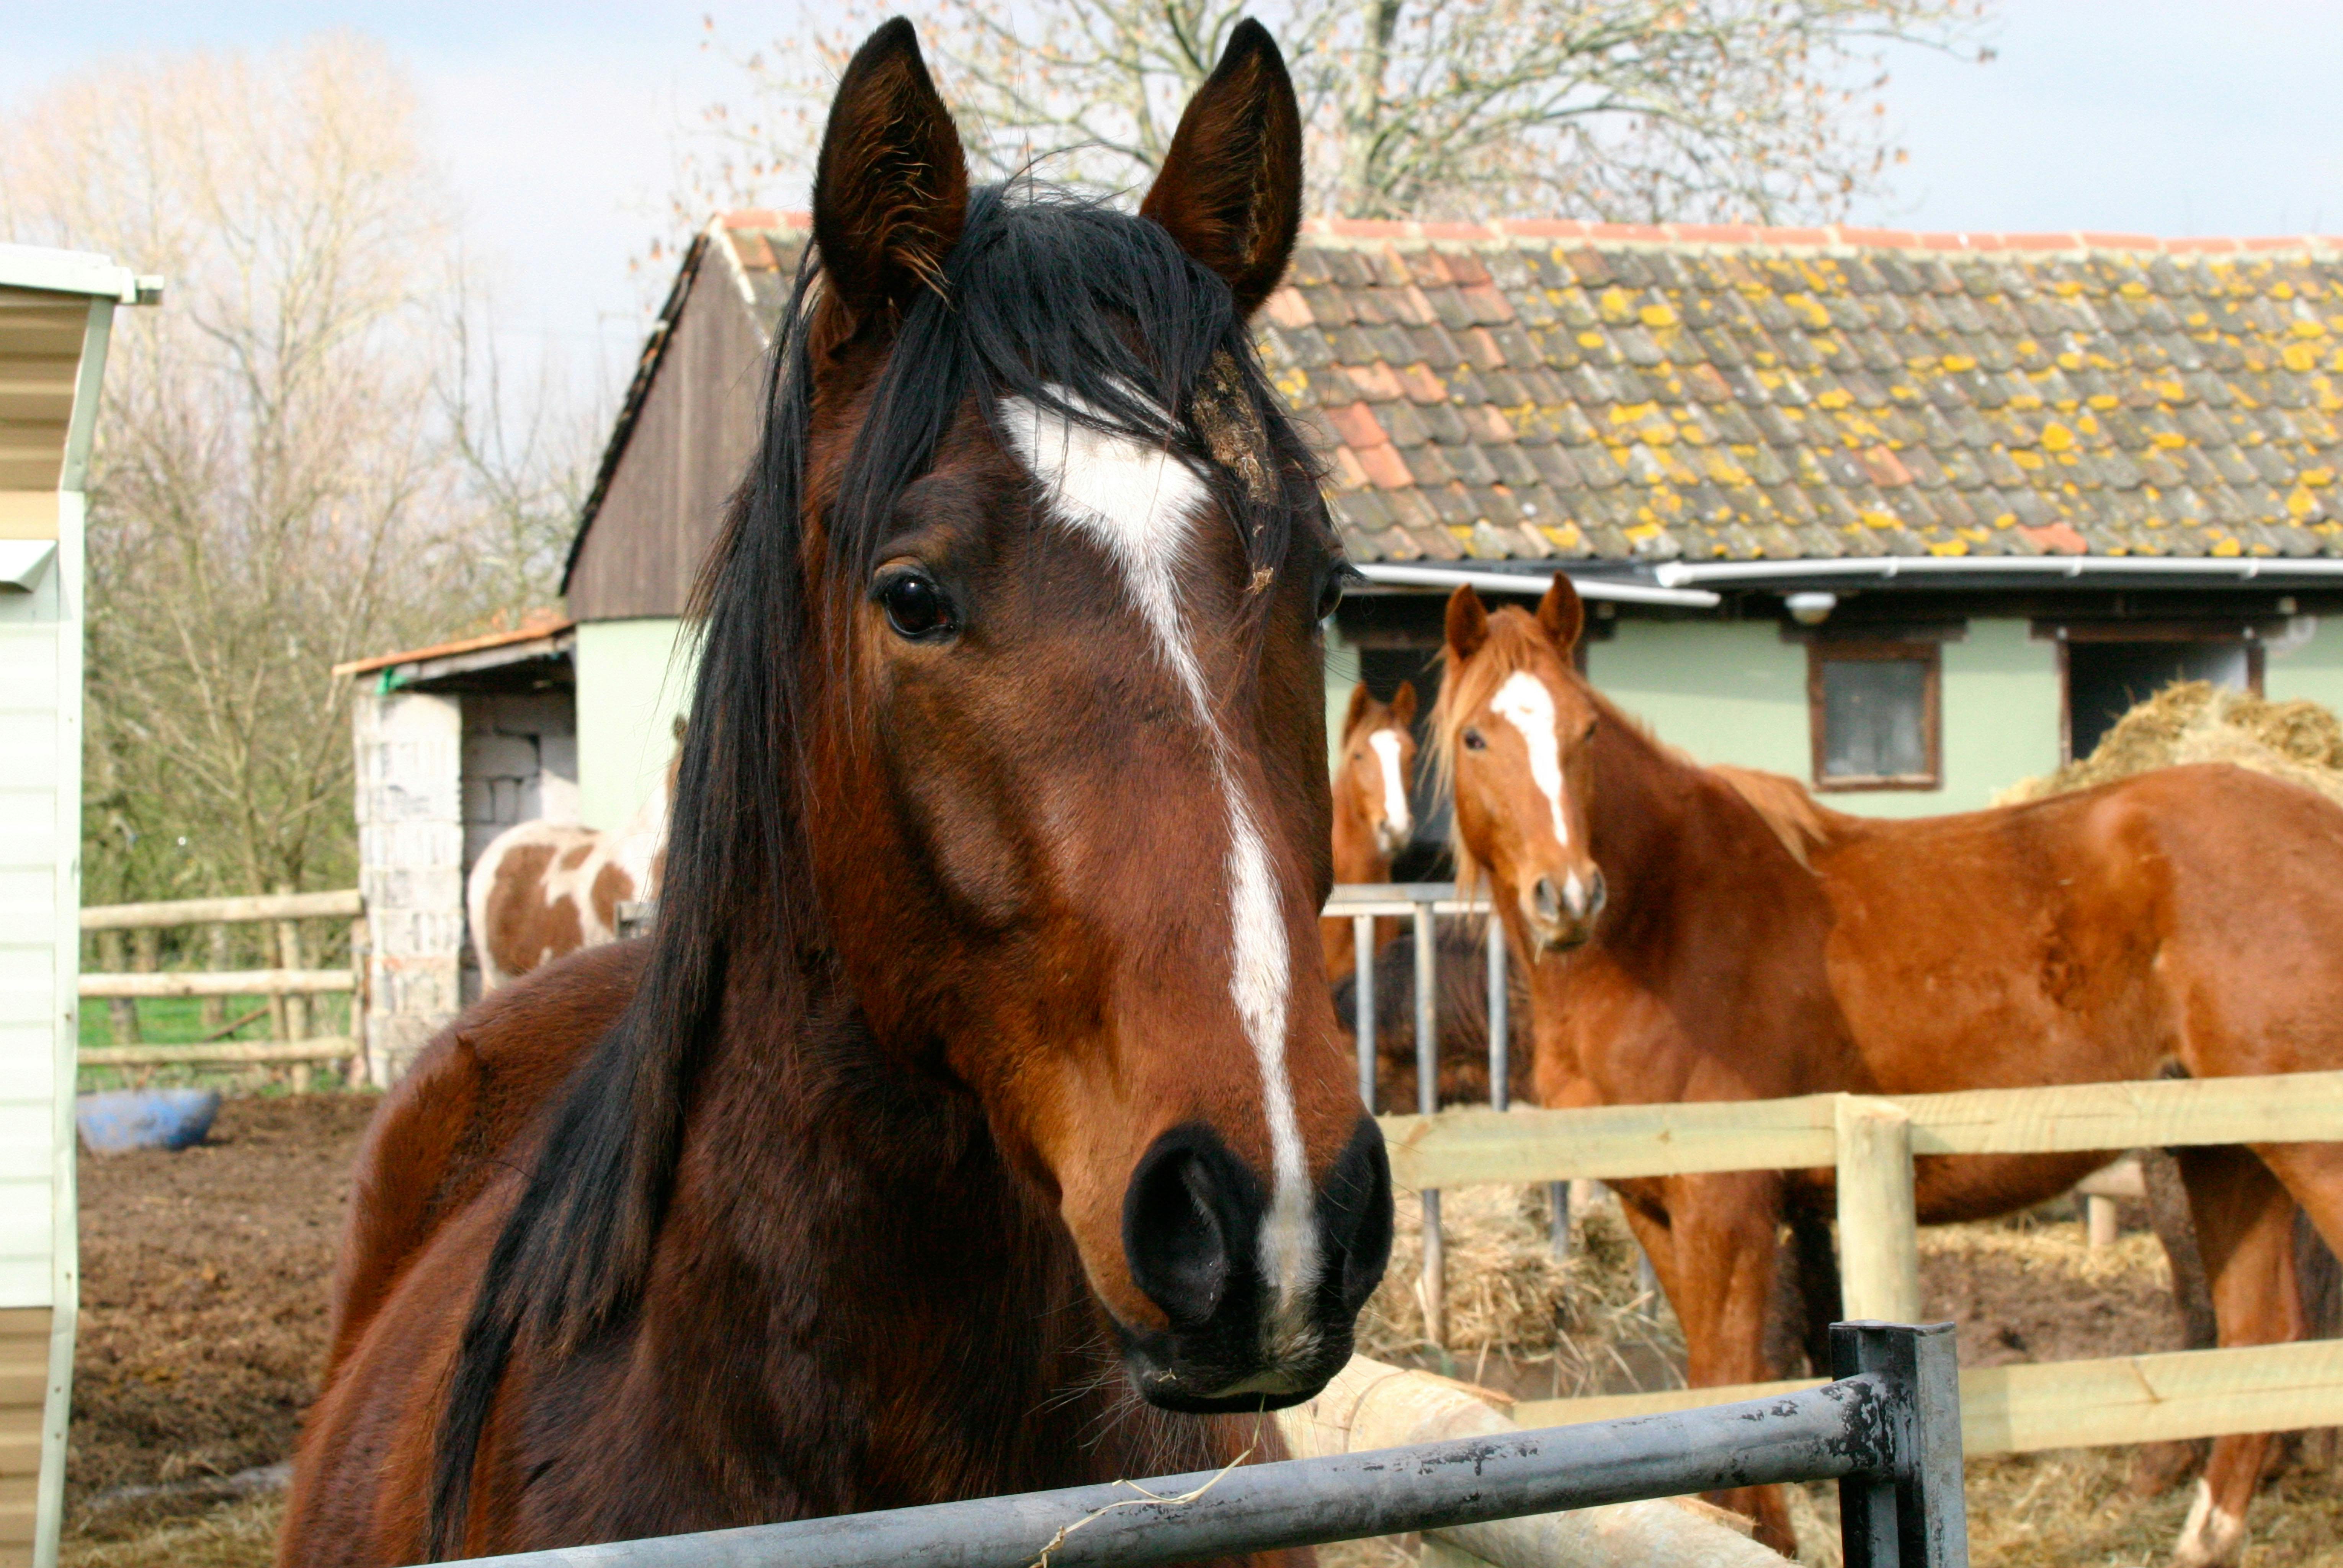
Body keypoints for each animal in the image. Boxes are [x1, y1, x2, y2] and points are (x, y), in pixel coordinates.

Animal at [1431, 573, 2343, 1567]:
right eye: (1478, 736)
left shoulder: (1728, 1204)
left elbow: (1728, 1374)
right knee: (2260, 1335)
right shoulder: (1654, 1207)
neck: (1661, 923)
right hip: (2226, 1152)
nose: (1567, 895)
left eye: (1586, 730)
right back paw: (2201, 1538)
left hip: (2305, 1148)